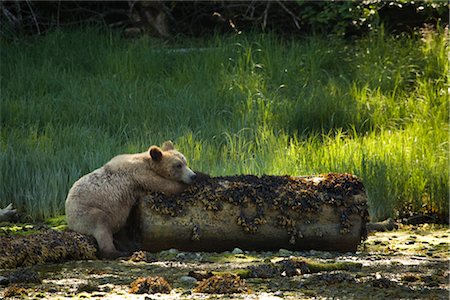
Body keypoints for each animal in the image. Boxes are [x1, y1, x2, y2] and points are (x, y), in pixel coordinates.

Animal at [64, 141, 195, 258]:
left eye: (185, 162)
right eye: (178, 165)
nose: (192, 176)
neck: (147, 162)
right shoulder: (139, 173)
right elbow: (165, 185)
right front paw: (197, 179)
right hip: (84, 212)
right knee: (101, 225)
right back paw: (116, 252)